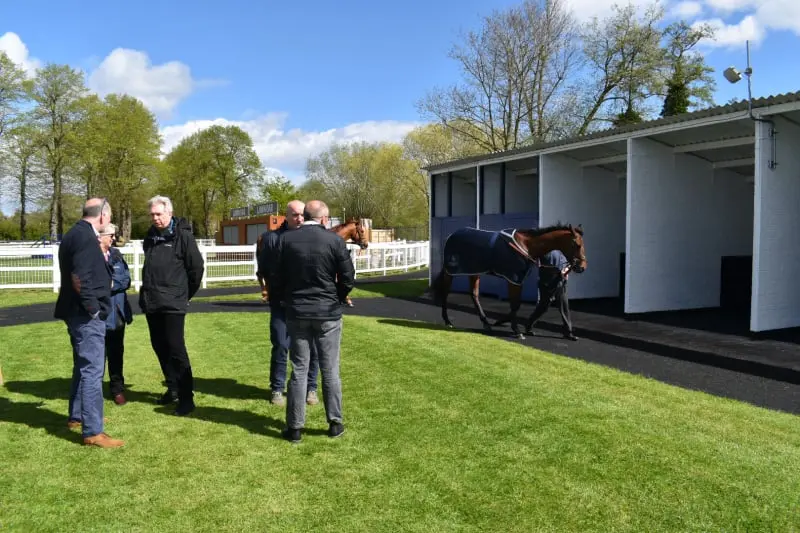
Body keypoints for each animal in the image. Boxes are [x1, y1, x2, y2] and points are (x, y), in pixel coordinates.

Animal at [432, 222, 588, 338]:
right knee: (445, 292)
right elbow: (515, 304)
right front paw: (517, 331)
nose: (582, 267)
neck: (526, 246)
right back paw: (448, 321)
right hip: (451, 271)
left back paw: (486, 324)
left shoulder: (518, 279)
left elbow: (515, 304)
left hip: (474, 272)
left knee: (474, 295)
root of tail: (451, 235)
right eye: (577, 244)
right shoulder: (514, 279)